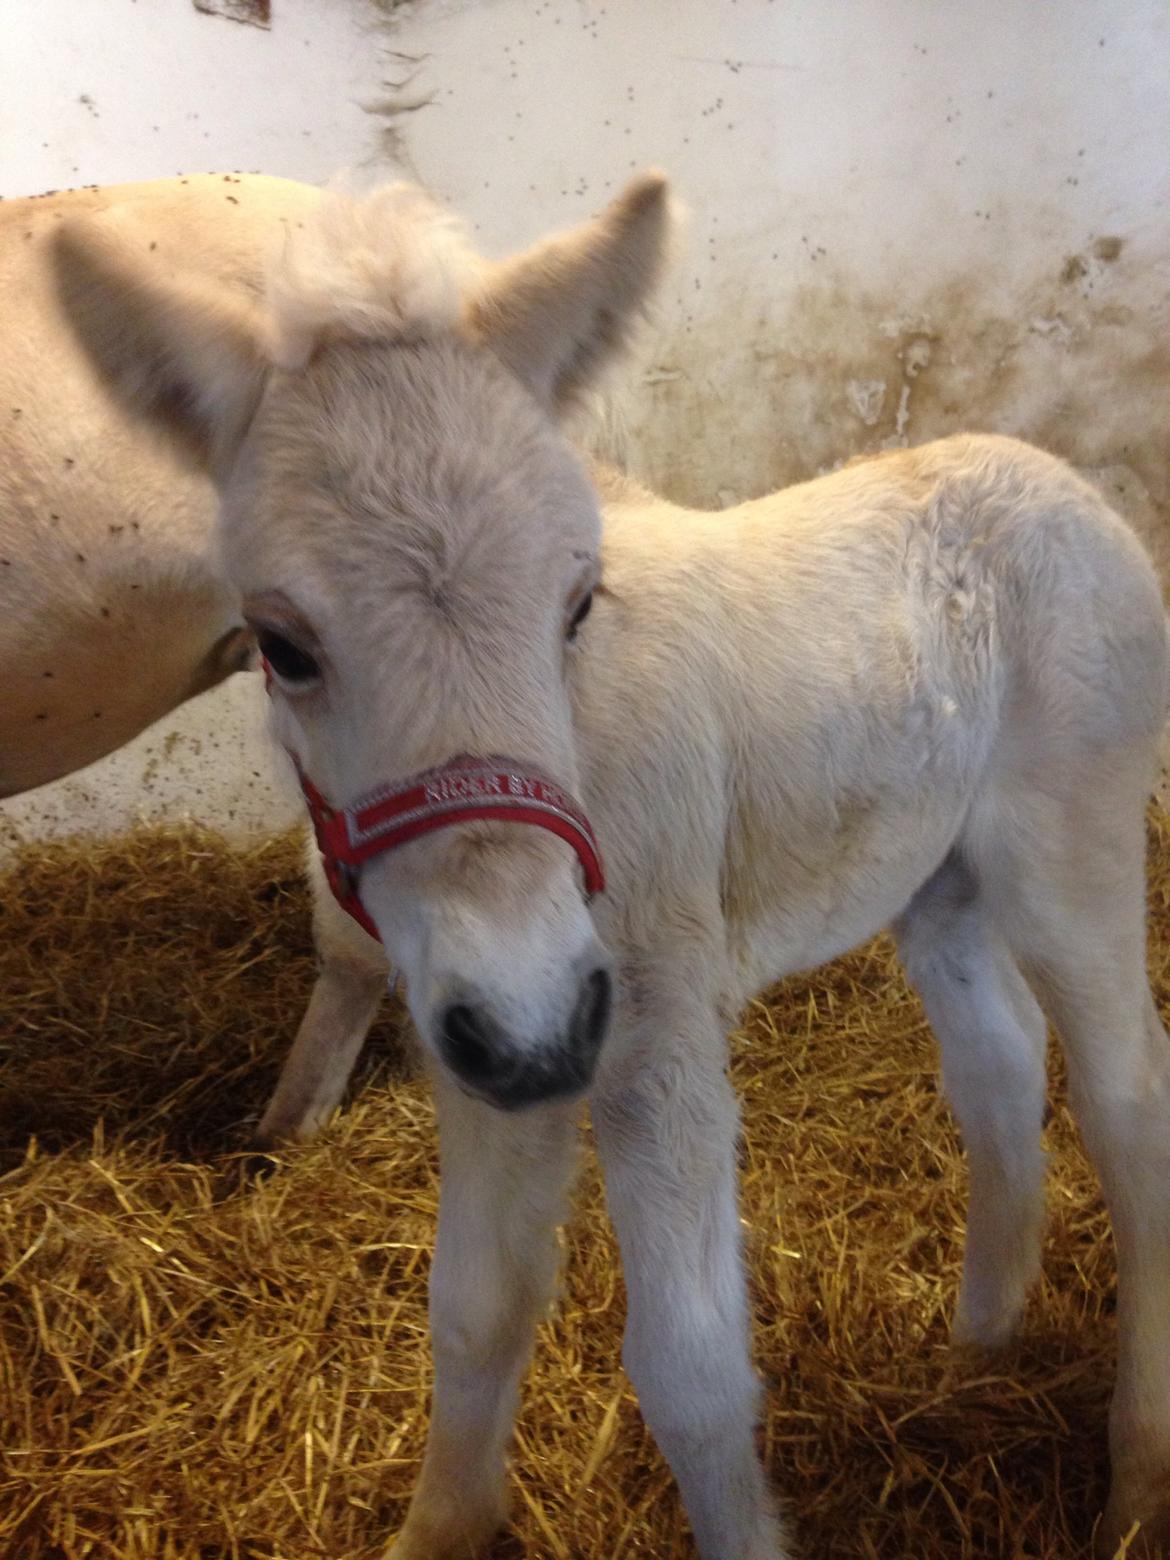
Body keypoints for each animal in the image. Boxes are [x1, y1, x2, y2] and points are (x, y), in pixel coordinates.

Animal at [52, 173, 1170, 1560]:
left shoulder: (652, 1028)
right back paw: (977, 1353)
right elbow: (473, 1310)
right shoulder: (479, 1036)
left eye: (577, 602)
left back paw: (1136, 1482)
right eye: (281, 643)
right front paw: (439, 1529)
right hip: (936, 880)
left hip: (1074, 843)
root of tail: (1063, 481)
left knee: (1130, 1106)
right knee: (1001, 1064)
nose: (540, 1026)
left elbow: (690, 1370)